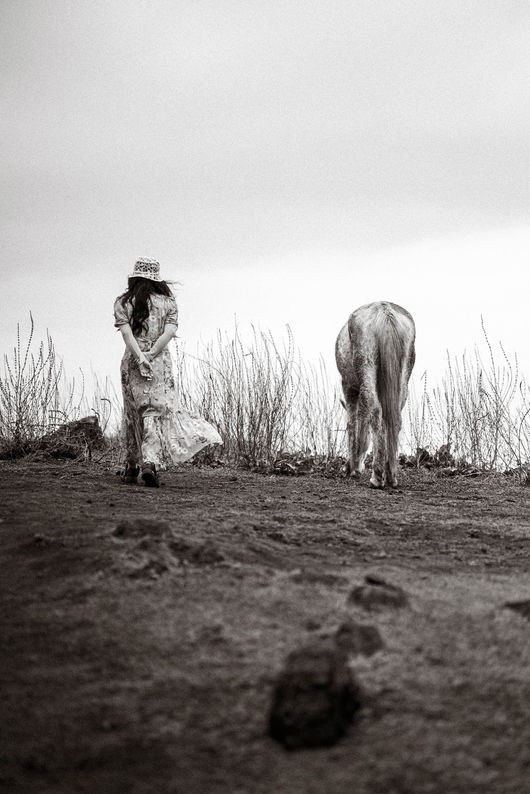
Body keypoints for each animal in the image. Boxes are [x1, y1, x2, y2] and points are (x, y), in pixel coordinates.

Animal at [336, 300, 414, 488]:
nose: (358, 466)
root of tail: (385, 311)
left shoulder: (348, 387)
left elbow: (353, 424)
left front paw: (351, 467)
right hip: (402, 378)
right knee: (393, 419)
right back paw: (390, 475)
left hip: (366, 368)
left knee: (377, 413)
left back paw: (377, 477)